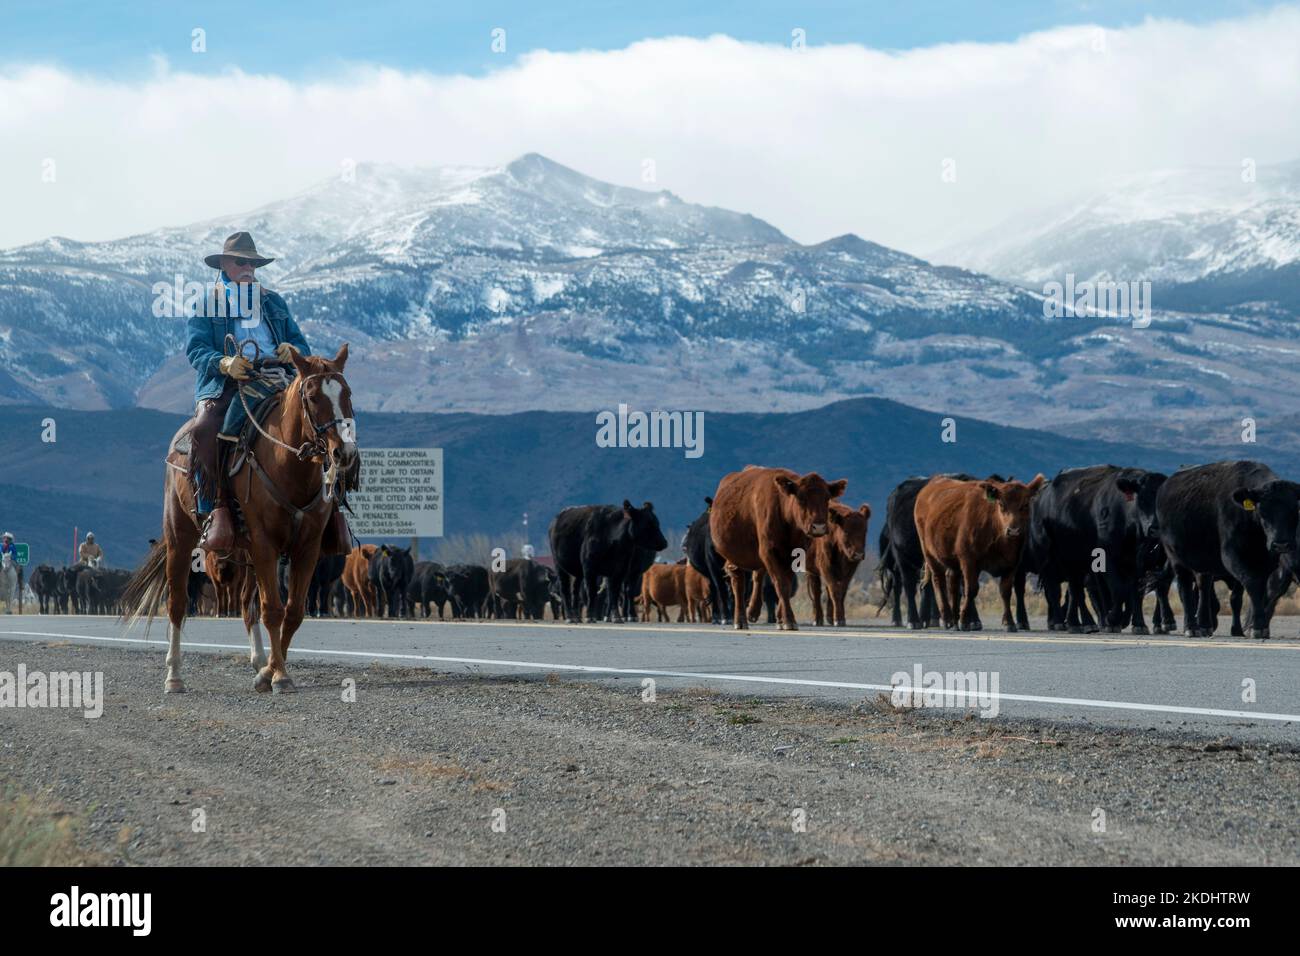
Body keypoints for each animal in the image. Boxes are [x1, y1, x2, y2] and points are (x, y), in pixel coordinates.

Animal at [710, 466, 847, 631]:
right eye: (801, 498)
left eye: (827, 498)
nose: (818, 526)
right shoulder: (769, 552)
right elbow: (780, 584)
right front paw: (789, 620)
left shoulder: (794, 555)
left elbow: (786, 584)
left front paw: (781, 619)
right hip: (734, 556)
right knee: (738, 583)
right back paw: (740, 620)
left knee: (758, 575)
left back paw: (753, 612)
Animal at [914, 474, 1045, 631]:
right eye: (1001, 504)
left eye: (1025, 505)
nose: (1013, 530)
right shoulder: (969, 560)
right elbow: (971, 589)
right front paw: (964, 621)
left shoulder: (1012, 564)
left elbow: (1005, 591)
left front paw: (1009, 622)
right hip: (930, 554)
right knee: (938, 581)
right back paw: (948, 619)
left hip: (953, 563)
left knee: (952, 582)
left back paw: (954, 619)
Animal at [1024, 465, 1167, 634]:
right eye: (1142, 499)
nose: (1155, 528)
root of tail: (1041, 496)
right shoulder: (1107, 558)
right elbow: (1117, 590)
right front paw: (1112, 619)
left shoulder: (1135, 563)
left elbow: (1133, 592)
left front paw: (1137, 624)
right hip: (1048, 558)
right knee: (1054, 591)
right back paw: (1061, 622)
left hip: (1074, 563)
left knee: (1075, 591)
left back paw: (1076, 623)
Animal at [1155, 460, 1300, 639]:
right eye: (1262, 512)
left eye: (1294, 510)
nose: (1281, 544)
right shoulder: (1233, 556)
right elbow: (1253, 586)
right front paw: (1257, 627)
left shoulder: (1266, 564)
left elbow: (1247, 595)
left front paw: (1243, 629)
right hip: (1176, 559)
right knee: (1185, 590)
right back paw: (1191, 627)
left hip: (1204, 564)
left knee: (1203, 588)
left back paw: (1205, 625)